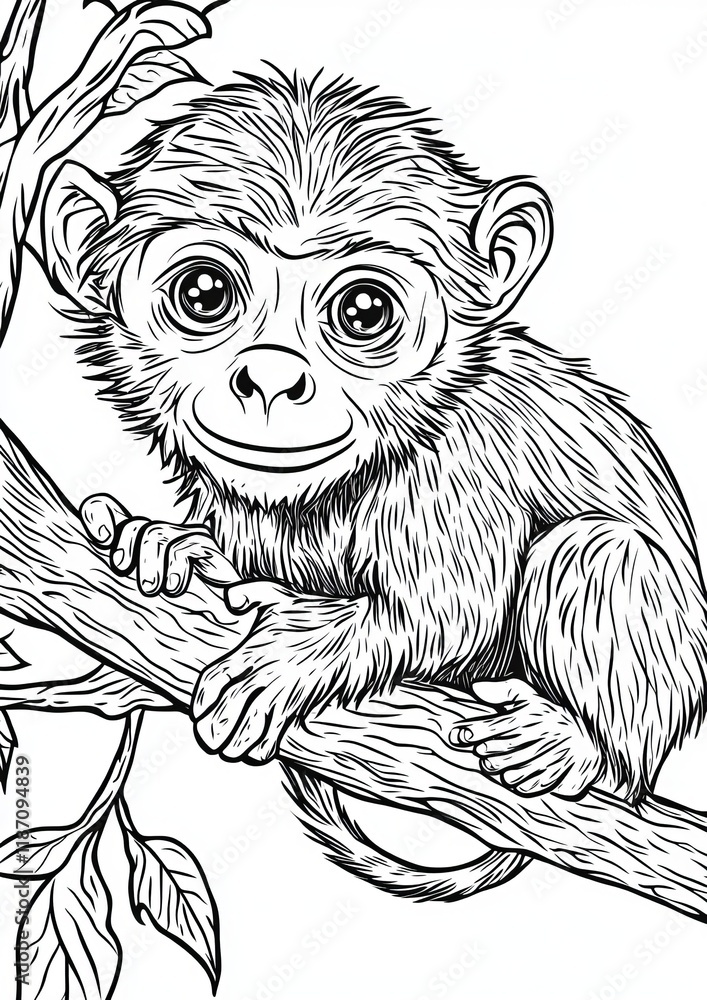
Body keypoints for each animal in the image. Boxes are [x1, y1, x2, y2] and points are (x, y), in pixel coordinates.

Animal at [37, 69, 707, 902]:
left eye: (364, 311)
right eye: (204, 295)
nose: (271, 378)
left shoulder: (455, 467)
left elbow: (448, 613)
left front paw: (296, 654)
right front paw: (162, 545)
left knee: (596, 553)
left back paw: (586, 746)